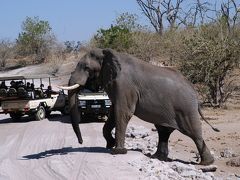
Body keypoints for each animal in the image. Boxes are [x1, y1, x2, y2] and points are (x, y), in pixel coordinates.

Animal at [58, 48, 219, 166]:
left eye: (87, 68)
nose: (80, 142)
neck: (109, 54)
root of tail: (194, 92)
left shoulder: (124, 86)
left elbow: (122, 112)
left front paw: (118, 152)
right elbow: (113, 113)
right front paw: (110, 145)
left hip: (185, 109)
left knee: (193, 133)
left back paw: (206, 164)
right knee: (164, 131)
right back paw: (158, 157)